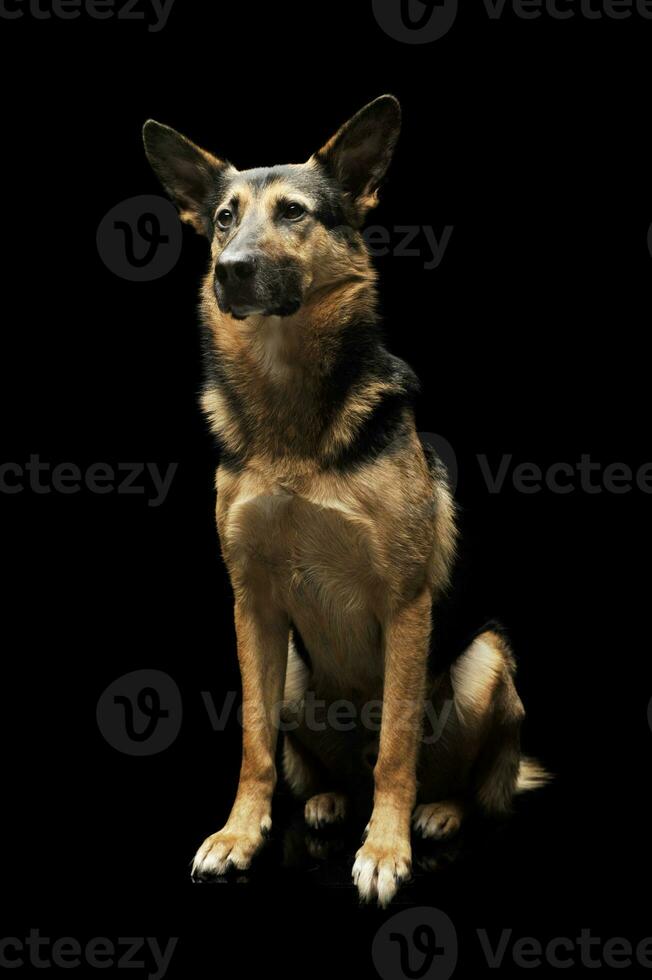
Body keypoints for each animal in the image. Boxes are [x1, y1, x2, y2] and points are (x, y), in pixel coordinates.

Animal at [145, 95, 548, 908]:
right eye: (225, 218)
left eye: (294, 213)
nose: (230, 272)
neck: (291, 410)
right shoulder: (252, 602)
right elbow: (255, 743)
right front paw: (240, 834)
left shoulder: (405, 601)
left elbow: (396, 746)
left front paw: (386, 850)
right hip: (300, 675)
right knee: (321, 766)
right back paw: (330, 801)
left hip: (487, 663)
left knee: (452, 779)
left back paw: (439, 812)